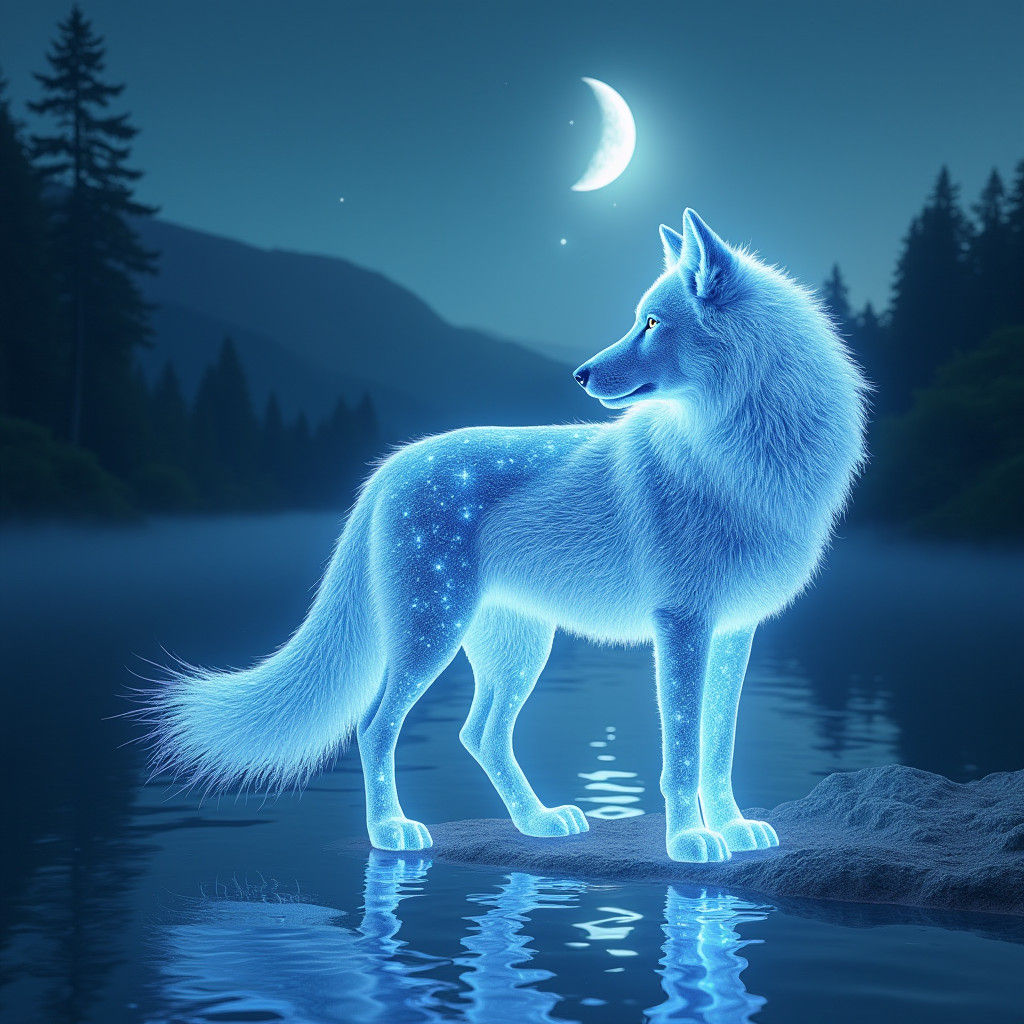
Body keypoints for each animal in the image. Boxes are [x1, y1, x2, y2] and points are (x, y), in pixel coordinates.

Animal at [145, 210, 867, 862]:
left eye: (652, 323)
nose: (580, 374)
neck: (742, 458)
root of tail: (389, 468)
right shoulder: (683, 625)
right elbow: (683, 753)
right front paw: (690, 842)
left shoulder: (736, 630)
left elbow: (717, 749)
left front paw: (734, 831)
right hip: (433, 632)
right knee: (377, 728)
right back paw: (393, 834)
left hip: (517, 647)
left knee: (480, 735)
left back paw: (539, 824)